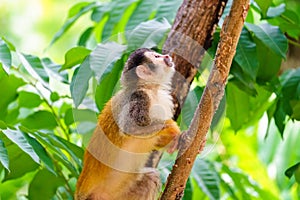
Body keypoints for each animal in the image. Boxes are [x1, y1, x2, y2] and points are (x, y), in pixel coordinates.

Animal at [75, 48, 180, 200]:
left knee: (151, 178)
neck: (150, 89)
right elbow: (130, 128)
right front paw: (173, 129)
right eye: (156, 56)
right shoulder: (139, 97)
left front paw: (174, 141)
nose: (167, 56)